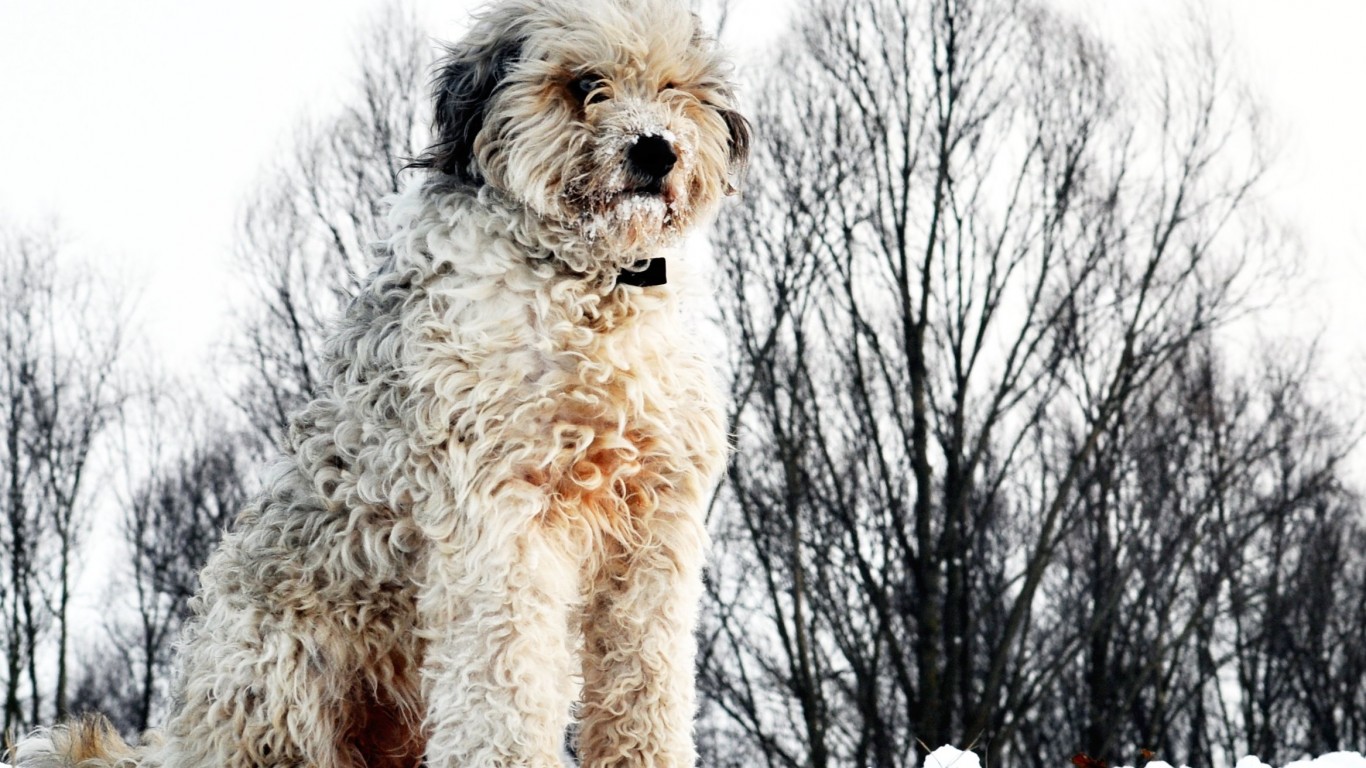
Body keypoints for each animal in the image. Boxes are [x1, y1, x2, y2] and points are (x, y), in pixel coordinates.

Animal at [10, 0, 754, 759]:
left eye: (674, 87)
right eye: (584, 83)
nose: (655, 149)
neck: (588, 287)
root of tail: (182, 740)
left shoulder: (656, 527)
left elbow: (647, 687)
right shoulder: (502, 523)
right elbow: (504, 685)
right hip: (283, 681)